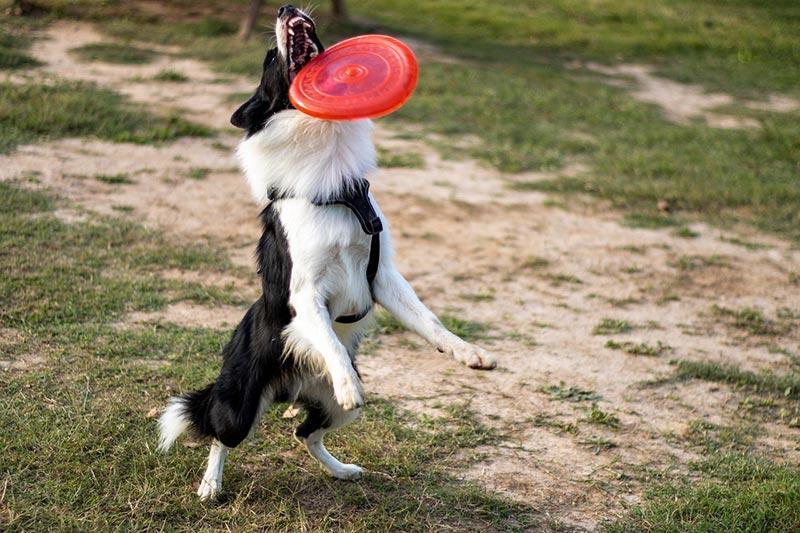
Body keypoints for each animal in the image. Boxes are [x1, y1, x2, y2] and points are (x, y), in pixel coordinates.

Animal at [156, 4, 494, 498]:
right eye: (268, 59)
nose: (285, 8)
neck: (336, 186)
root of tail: (290, 390)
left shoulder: (383, 276)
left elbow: (428, 320)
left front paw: (469, 353)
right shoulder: (306, 292)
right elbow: (328, 339)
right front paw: (347, 381)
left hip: (332, 411)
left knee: (305, 433)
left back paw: (341, 468)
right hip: (240, 403)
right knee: (221, 435)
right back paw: (210, 486)